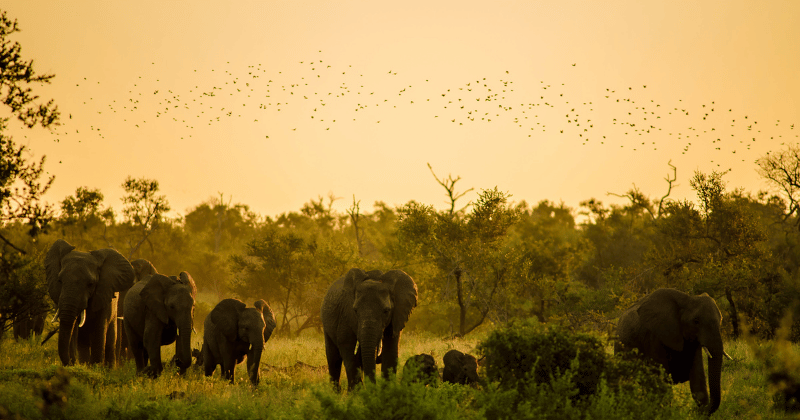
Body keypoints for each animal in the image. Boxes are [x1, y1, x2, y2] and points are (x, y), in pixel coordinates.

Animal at [44, 240, 134, 368]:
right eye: (60, 280)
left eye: (90, 284)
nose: (71, 362)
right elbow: (72, 329)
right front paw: (80, 365)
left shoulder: (103, 295)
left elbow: (100, 329)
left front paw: (95, 367)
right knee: (83, 342)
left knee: (110, 341)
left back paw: (108, 368)